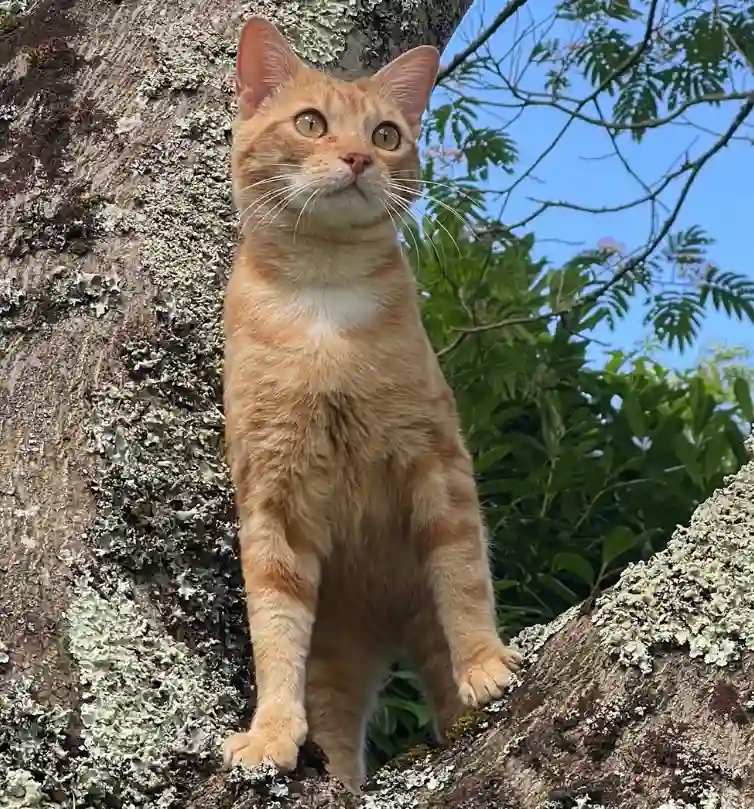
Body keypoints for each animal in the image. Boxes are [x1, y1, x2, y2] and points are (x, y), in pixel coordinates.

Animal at [220, 15, 520, 792]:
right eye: (310, 122)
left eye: (386, 134)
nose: (357, 157)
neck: (324, 298)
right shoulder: (274, 500)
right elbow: (274, 633)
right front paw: (270, 733)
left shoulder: (436, 463)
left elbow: (465, 578)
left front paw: (486, 662)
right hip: (339, 659)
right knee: (336, 729)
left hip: (419, 624)